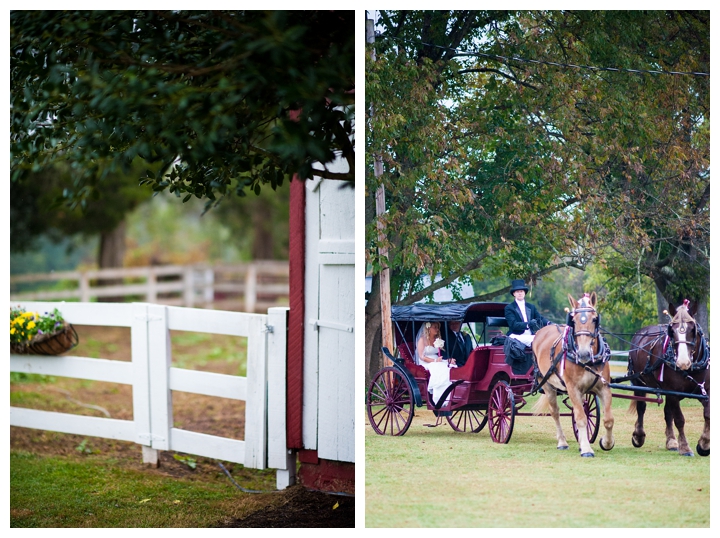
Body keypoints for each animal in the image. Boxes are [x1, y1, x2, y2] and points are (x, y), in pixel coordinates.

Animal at [532, 292, 616, 454]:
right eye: (574, 320)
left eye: (594, 319)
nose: (583, 353)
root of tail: (542, 330)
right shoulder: (573, 388)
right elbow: (581, 418)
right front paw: (586, 449)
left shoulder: (603, 387)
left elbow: (608, 419)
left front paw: (606, 442)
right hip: (547, 385)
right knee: (555, 412)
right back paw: (562, 442)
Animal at [632, 300, 708, 454]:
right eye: (672, 331)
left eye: (693, 329)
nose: (683, 362)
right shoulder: (673, 391)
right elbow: (679, 419)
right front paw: (685, 447)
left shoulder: (704, 390)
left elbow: (707, 415)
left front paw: (704, 444)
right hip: (639, 382)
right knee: (641, 406)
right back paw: (639, 435)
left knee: (667, 412)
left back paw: (671, 441)